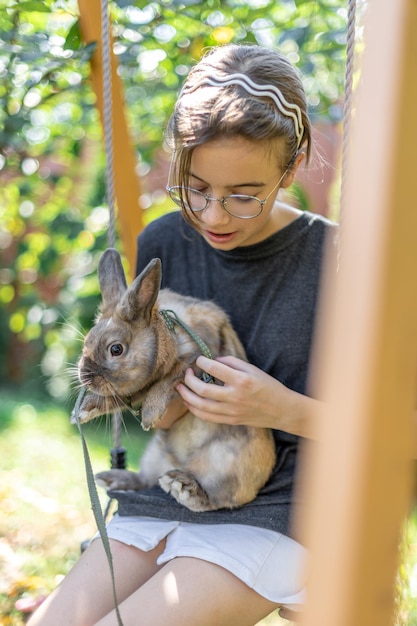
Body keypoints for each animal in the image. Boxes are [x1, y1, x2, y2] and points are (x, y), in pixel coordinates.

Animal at [74, 246, 276, 510]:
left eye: (115, 349)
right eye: (87, 342)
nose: (85, 377)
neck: (170, 332)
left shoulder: (199, 362)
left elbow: (168, 380)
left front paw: (150, 414)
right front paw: (82, 411)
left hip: (226, 466)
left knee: (217, 499)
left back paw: (184, 486)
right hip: (154, 454)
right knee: (146, 479)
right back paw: (113, 478)